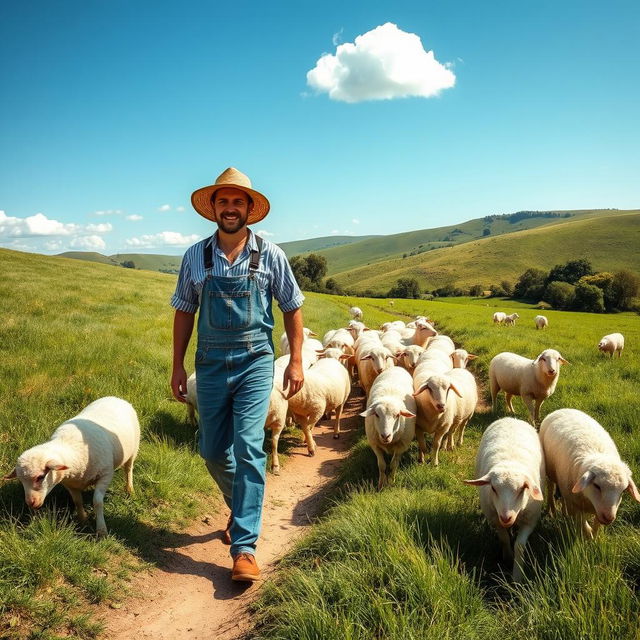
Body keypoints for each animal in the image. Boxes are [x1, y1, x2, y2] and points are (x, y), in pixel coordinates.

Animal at [6, 398, 139, 536]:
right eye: (21, 481)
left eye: (40, 477)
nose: (30, 503)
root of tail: (114, 397)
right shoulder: (70, 484)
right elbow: (77, 501)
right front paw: (83, 520)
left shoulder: (105, 474)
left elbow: (97, 502)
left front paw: (101, 530)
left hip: (133, 450)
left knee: (128, 470)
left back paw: (130, 489)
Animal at [464, 418, 544, 584]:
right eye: (493, 489)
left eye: (523, 489)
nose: (506, 517)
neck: (510, 462)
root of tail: (511, 418)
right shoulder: (494, 517)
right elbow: (504, 538)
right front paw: (507, 557)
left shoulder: (530, 520)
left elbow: (519, 545)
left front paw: (517, 576)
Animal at [540, 408, 640, 536]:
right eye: (597, 485)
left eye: (623, 491)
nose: (609, 518)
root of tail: (563, 409)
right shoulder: (576, 506)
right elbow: (584, 527)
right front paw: (587, 537)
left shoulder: (596, 510)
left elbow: (596, 526)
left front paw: (595, 537)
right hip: (550, 470)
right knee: (551, 487)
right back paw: (552, 510)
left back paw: (564, 512)